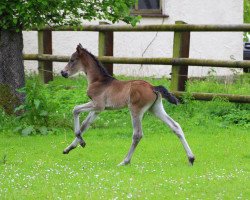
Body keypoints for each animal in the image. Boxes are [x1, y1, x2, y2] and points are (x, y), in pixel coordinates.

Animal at [60, 43, 195, 166]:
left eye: (72, 60)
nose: (63, 72)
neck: (99, 81)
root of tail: (152, 87)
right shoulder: (98, 110)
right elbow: (84, 125)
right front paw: (70, 148)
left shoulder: (98, 105)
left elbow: (75, 109)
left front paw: (81, 141)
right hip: (156, 109)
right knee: (175, 126)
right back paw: (191, 158)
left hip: (136, 110)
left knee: (137, 134)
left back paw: (124, 161)